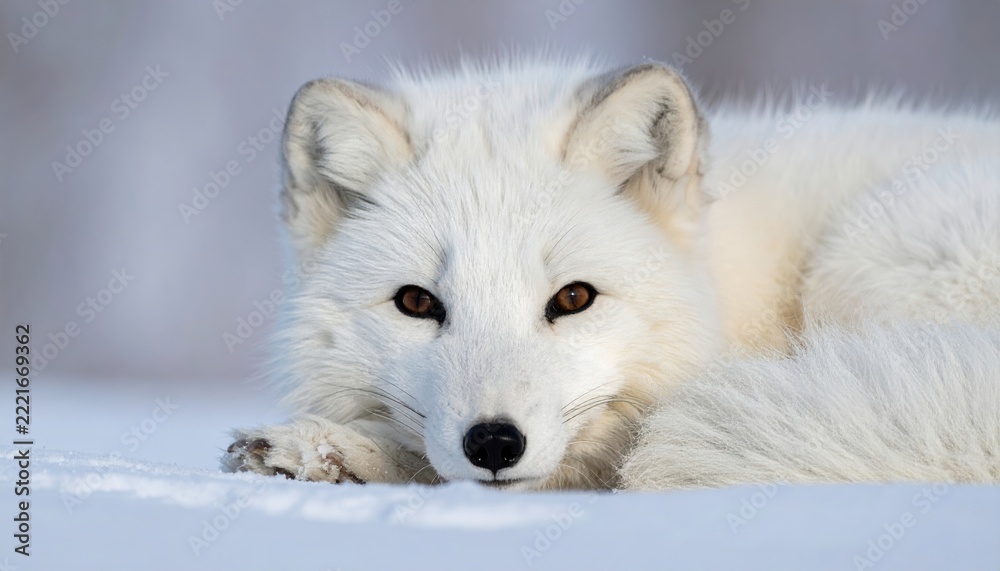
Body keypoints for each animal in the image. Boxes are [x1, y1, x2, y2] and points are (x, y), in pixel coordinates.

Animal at [222, 56, 1000, 491]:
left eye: (573, 297)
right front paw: (319, 453)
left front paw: (341, 452)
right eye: (416, 302)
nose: (494, 442)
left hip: (862, 258)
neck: (722, 280)